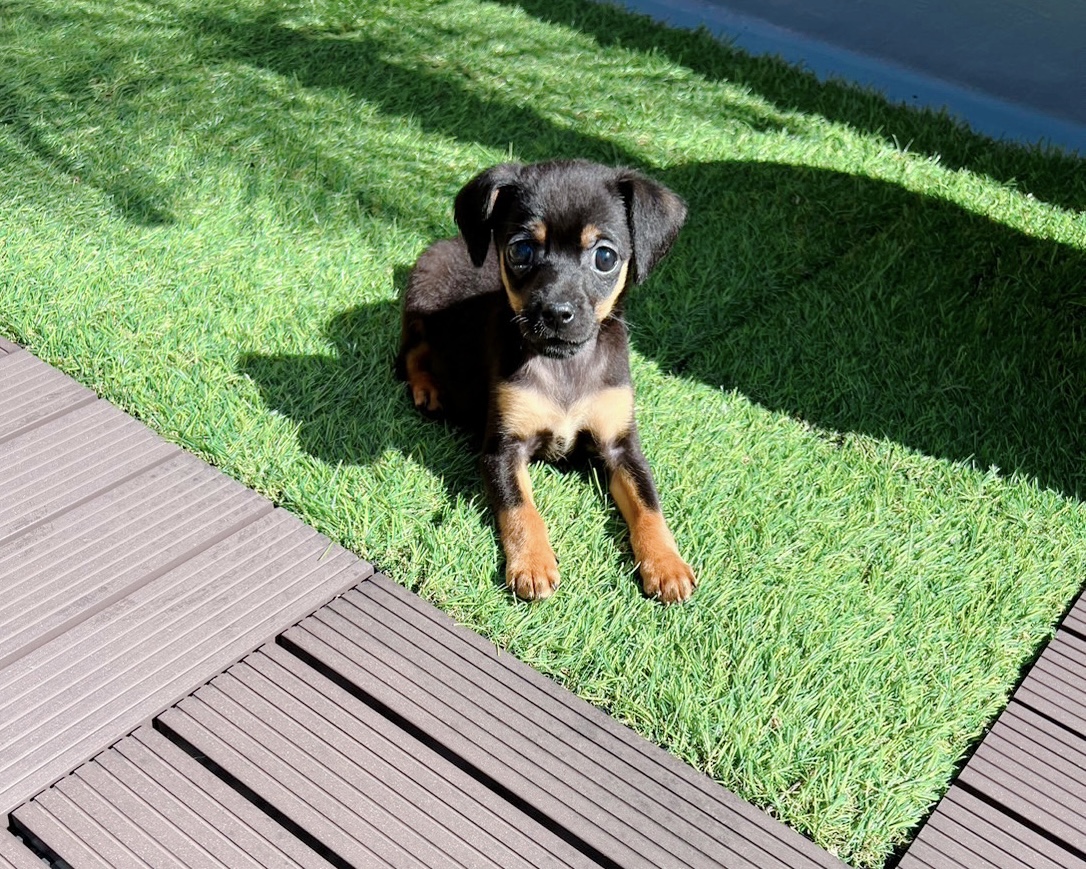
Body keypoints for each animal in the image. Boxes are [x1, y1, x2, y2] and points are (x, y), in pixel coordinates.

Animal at [396, 160, 695, 603]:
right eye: (520, 250)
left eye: (605, 257)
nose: (556, 312)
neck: (565, 366)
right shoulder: (502, 450)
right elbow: (521, 508)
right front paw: (533, 563)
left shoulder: (622, 449)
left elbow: (649, 505)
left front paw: (666, 563)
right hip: (420, 306)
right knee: (411, 354)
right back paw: (427, 388)